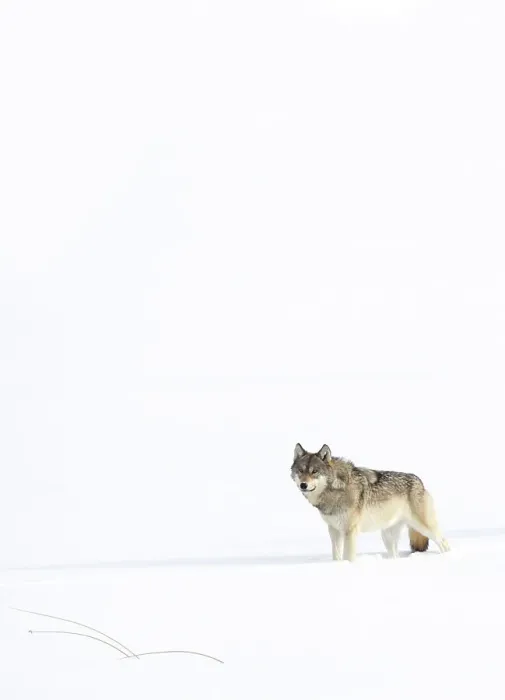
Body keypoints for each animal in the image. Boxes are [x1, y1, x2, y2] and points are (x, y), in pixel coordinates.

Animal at [291, 443, 450, 562]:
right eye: (300, 471)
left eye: (314, 472)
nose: (303, 485)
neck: (336, 490)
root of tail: (420, 481)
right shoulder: (334, 530)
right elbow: (336, 556)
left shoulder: (350, 531)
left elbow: (348, 557)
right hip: (387, 537)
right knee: (395, 555)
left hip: (424, 528)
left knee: (444, 543)